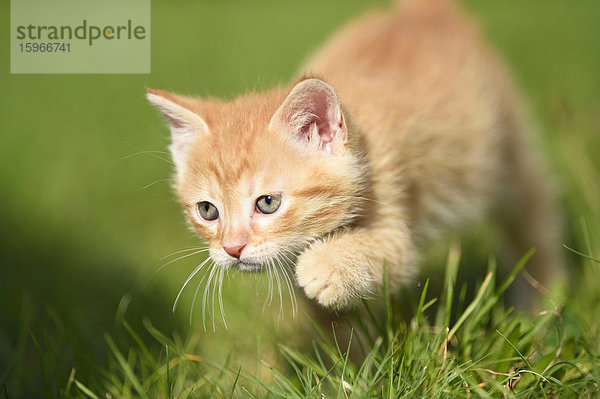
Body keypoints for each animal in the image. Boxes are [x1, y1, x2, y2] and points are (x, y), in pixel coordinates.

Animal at [146, 0, 568, 312]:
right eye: (207, 211)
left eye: (267, 203)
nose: (232, 249)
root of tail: (423, 12)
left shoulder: (396, 219)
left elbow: (384, 253)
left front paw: (324, 266)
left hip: (509, 148)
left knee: (534, 217)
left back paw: (544, 303)